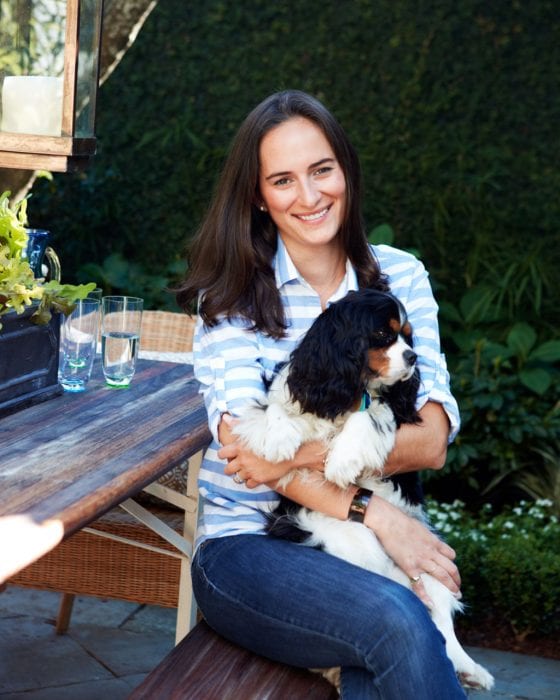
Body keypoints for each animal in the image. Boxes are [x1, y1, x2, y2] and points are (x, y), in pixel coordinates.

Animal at [234, 288, 496, 688]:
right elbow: (275, 409)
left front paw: (341, 461)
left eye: (409, 337)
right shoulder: (291, 393)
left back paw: (470, 670)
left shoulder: (393, 412)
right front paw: (278, 439)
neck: (350, 387)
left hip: (427, 557)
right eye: (384, 335)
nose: (413, 357)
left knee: (441, 622)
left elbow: (370, 415)